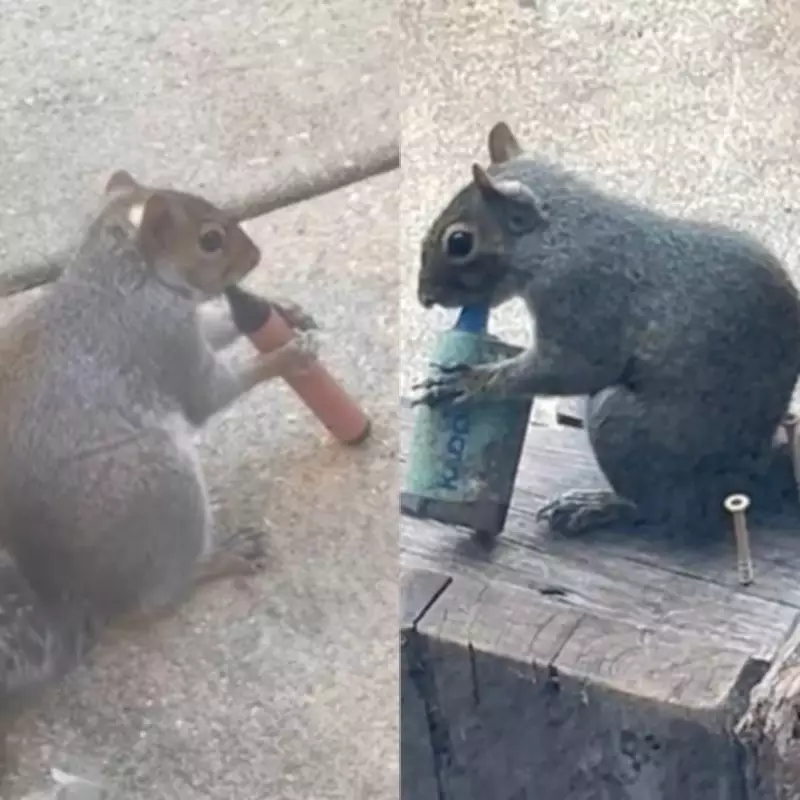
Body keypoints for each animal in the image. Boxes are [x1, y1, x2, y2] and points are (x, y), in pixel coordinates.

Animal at [0, 170, 319, 709]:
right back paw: (220, 558)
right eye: (209, 240)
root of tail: (70, 593)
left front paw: (284, 310)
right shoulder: (162, 338)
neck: (127, 272)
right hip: (159, 486)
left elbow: (221, 327)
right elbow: (208, 394)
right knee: (152, 602)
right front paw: (289, 355)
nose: (255, 257)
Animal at [414, 121, 800, 540]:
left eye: (460, 242)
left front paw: (468, 382)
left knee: (672, 514)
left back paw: (599, 505)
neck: (559, 236)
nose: (424, 297)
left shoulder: (584, 298)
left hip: (621, 422)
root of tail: (747, 469)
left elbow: (575, 368)